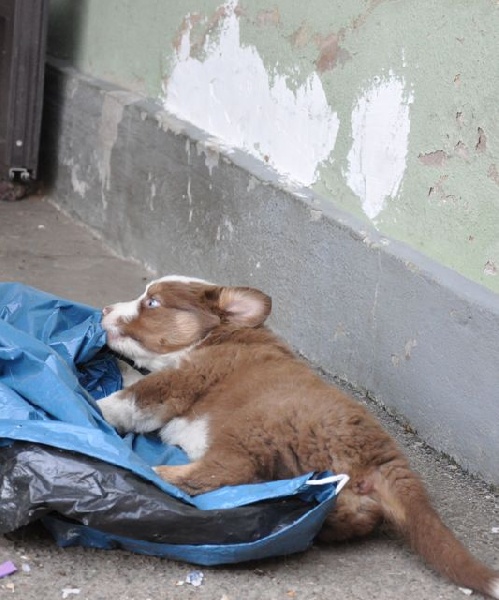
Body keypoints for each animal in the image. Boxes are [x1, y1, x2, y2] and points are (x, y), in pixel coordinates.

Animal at [98, 276, 499, 596]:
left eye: (152, 302)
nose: (103, 308)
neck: (214, 337)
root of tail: (386, 458)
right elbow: (132, 380)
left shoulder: (180, 381)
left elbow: (130, 399)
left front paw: (92, 404)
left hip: (253, 425)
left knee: (226, 471)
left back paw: (155, 473)